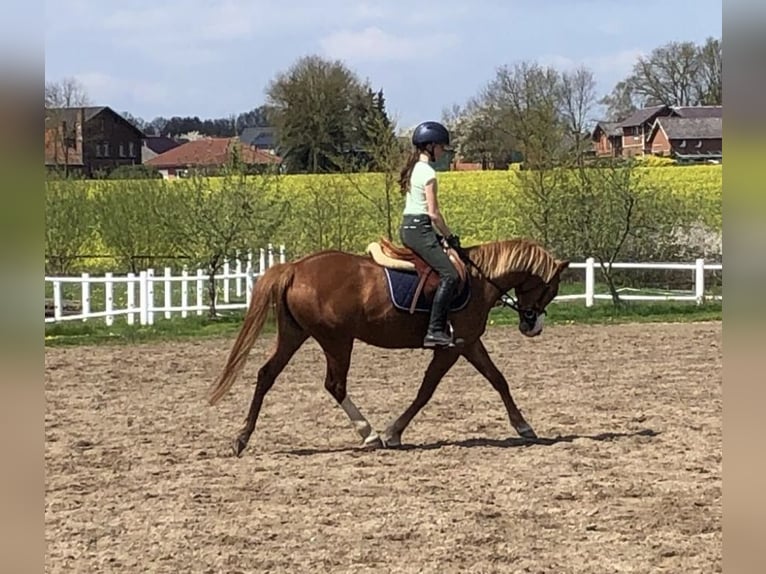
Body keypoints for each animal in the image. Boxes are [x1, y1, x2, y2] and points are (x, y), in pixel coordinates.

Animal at [207, 236, 568, 456]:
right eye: (550, 288)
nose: (533, 326)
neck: (479, 280)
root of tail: (295, 268)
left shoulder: (469, 343)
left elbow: (498, 380)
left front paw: (523, 425)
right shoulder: (453, 346)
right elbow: (426, 390)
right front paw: (393, 432)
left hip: (295, 334)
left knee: (266, 375)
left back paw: (242, 438)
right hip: (336, 340)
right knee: (335, 385)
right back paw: (369, 434)